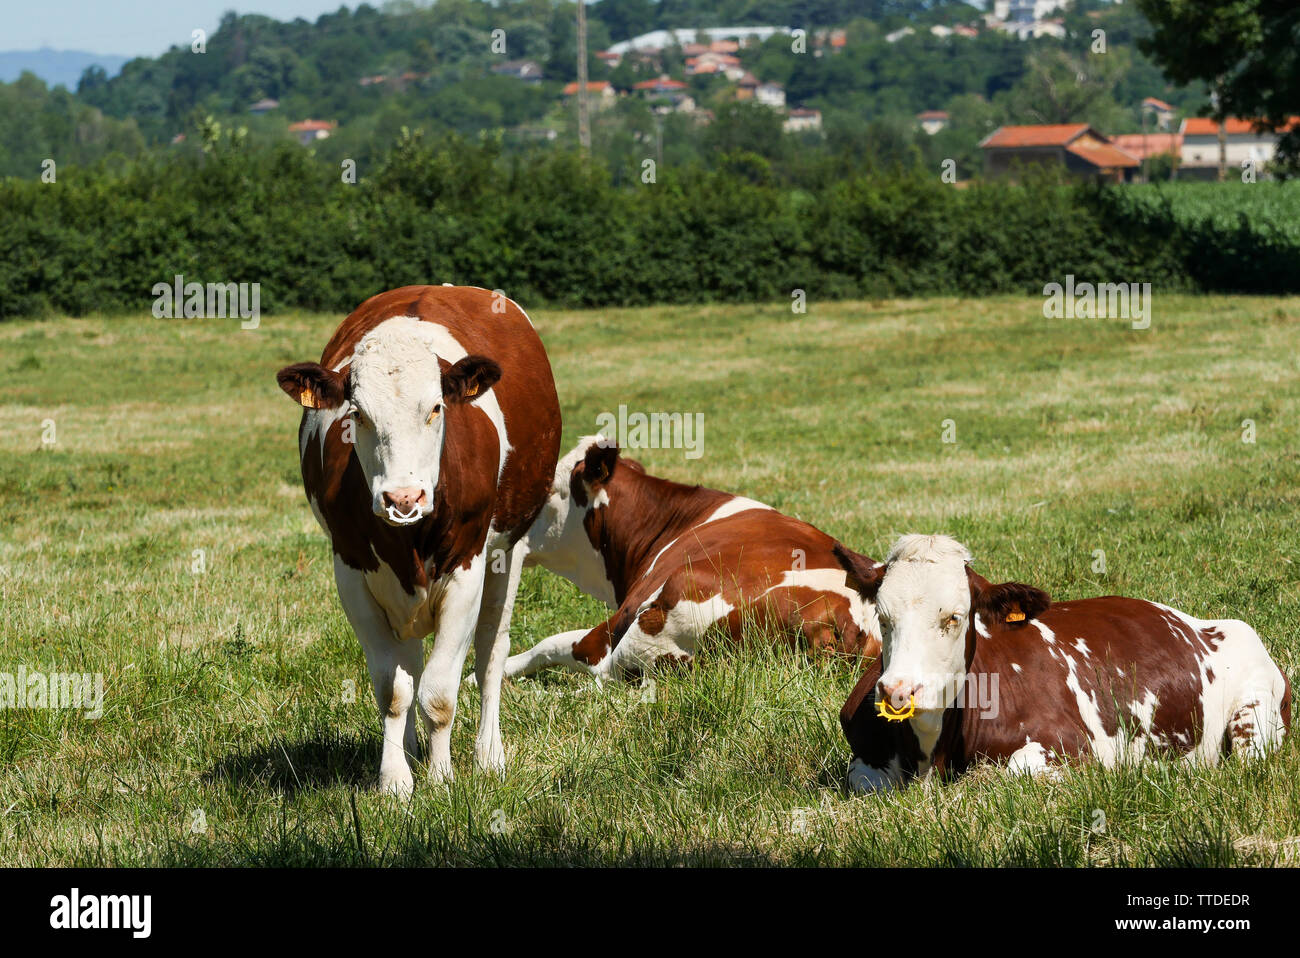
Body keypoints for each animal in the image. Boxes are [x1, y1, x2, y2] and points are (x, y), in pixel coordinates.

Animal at [276, 285, 561, 796]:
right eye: (357, 414)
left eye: (436, 408)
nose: (403, 497)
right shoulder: (351, 572)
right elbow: (394, 688)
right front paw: (395, 781)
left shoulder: (467, 571)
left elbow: (440, 692)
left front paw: (442, 777)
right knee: (408, 660)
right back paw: (409, 750)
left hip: (509, 551)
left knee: (491, 653)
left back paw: (489, 755)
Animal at [491, 436, 880, 681]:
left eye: (545, 492)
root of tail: (850, 620)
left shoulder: (616, 622)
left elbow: (550, 644)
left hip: (657, 617)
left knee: (604, 678)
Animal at [833, 534, 1291, 793]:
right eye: (883, 616)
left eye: (955, 617)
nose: (898, 692)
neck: (932, 754)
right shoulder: (865, 759)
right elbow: (867, 783)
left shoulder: (1071, 750)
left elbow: (1001, 776)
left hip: (1256, 712)